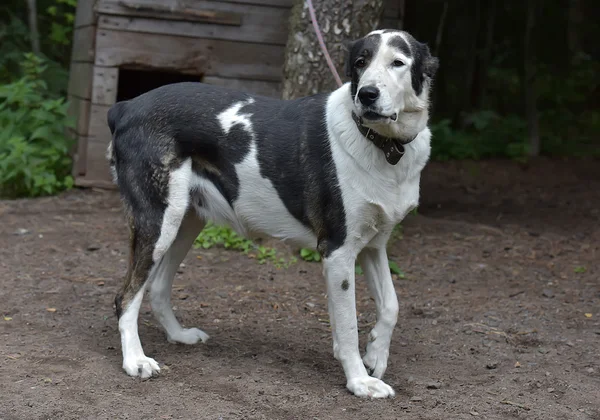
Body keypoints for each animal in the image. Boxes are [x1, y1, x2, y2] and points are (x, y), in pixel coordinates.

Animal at [106, 28, 436, 398]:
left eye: (398, 62)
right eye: (361, 63)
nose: (366, 94)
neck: (383, 146)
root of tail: (126, 106)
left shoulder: (373, 245)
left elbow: (391, 305)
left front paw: (376, 354)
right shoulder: (338, 250)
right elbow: (348, 325)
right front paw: (359, 381)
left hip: (185, 221)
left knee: (158, 287)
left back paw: (179, 335)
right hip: (159, 222)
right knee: (126, 296)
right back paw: (135, 361)